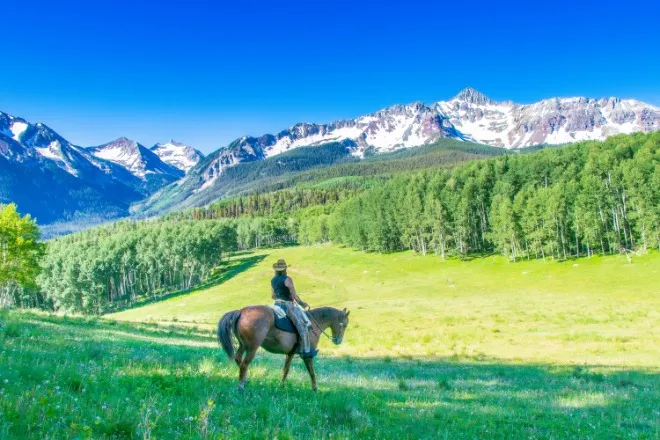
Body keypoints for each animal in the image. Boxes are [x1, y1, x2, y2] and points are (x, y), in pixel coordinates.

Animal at [217, 306, 350, 391]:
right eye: (345, 324)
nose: (338, 341)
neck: (313, 324)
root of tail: (241, 311)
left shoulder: (290, 354)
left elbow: (285, 370)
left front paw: (281, 386)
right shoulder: (307, 356)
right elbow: (312, 372)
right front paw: (315, 389)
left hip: (243, 345)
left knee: (238, 359)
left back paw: (245, 380)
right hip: (252, 348)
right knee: (244, 364)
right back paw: (241, 387)